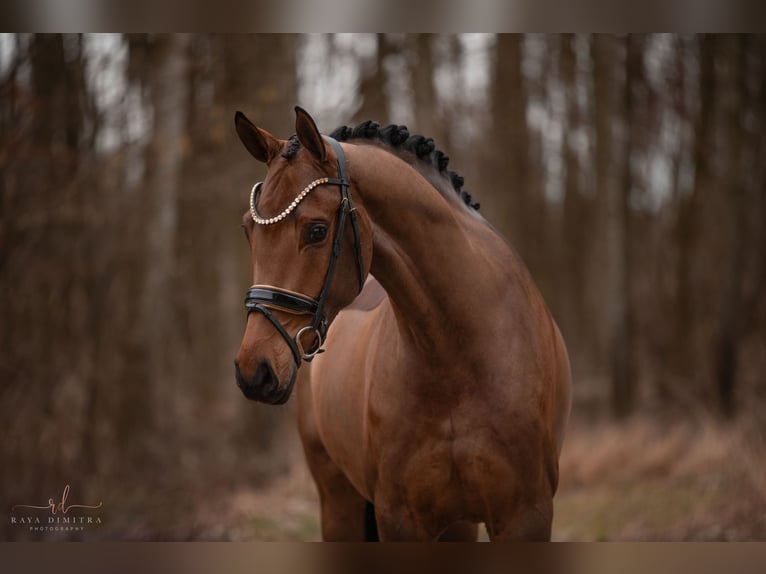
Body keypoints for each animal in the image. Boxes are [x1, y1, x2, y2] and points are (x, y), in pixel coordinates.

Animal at [237, 108, 572, 544]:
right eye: (248, 229)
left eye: (317, 230)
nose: (254, 371)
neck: (458, 359)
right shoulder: (399, 518)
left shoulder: (525, 515)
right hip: (338, 499)